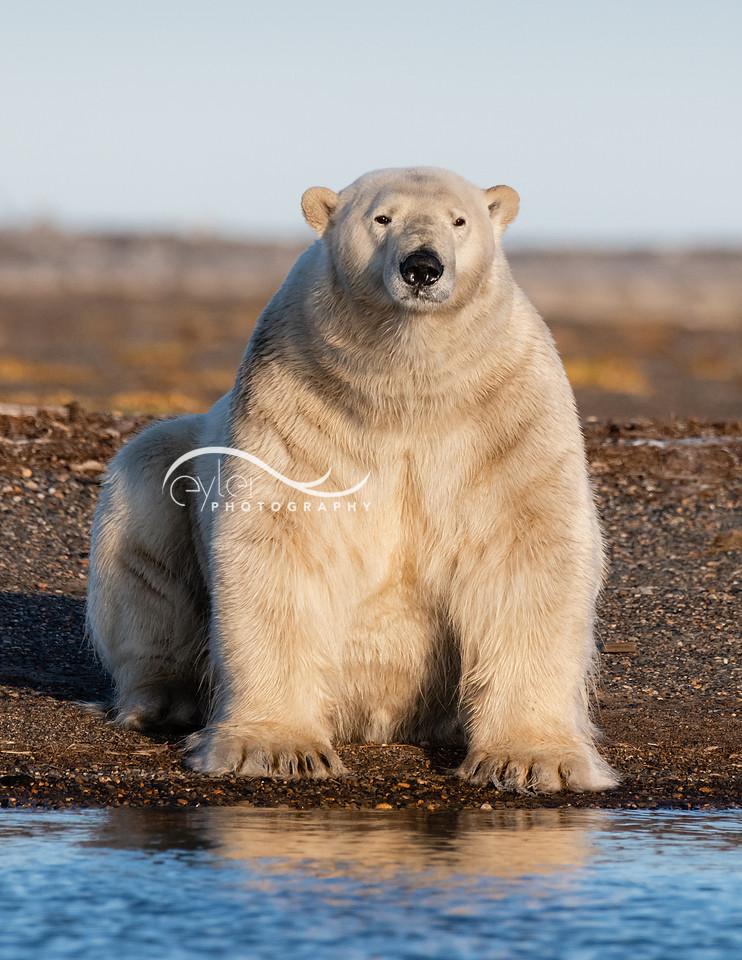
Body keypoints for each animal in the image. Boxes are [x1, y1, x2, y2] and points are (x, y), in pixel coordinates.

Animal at [86, 167, 619, 794]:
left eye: (459, 220)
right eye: (382, 218)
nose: (422, 267)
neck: (407, 385)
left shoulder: (508, 414)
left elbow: (526, 549)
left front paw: (531, 761)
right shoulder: (297, 403)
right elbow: (283, 540)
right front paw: (278, 748)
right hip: (174, 470)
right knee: (143, 516)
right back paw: (165, 702)